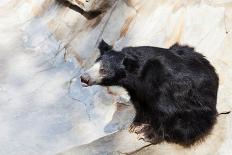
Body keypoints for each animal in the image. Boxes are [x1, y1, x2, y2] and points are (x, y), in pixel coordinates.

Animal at [80, 40, 218, 147]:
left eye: (103, 70)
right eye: (94, 65)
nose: (83, 78)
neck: (136, 74)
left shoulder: (164, 84)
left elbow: (167, 110)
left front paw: (147, 134)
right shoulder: (136, 88)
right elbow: (139, 103)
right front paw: (135, 125)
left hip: (198, 108)